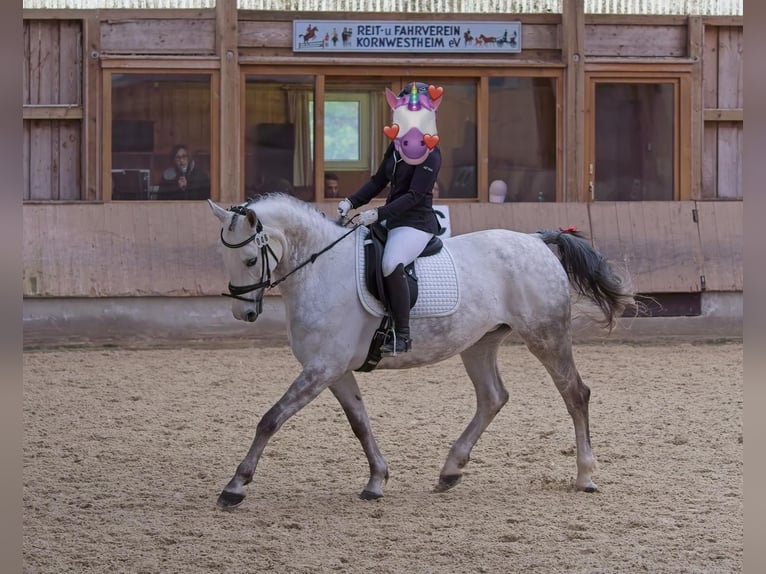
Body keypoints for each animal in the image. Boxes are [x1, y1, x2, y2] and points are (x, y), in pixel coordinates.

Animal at [207, 196, 632, 510]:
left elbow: (271, 419)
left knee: (575, 394)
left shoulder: (323, 367)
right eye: (225, 259)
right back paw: (450, 471)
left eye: (250, 260)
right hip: (480, 343)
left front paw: (235, 485)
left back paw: (585, 475)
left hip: (546, 336)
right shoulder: (334, 369)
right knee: (493, 397)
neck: (321, 269)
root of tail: (538, 240)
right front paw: (377, 480)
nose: (244, 314)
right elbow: (360, 423)